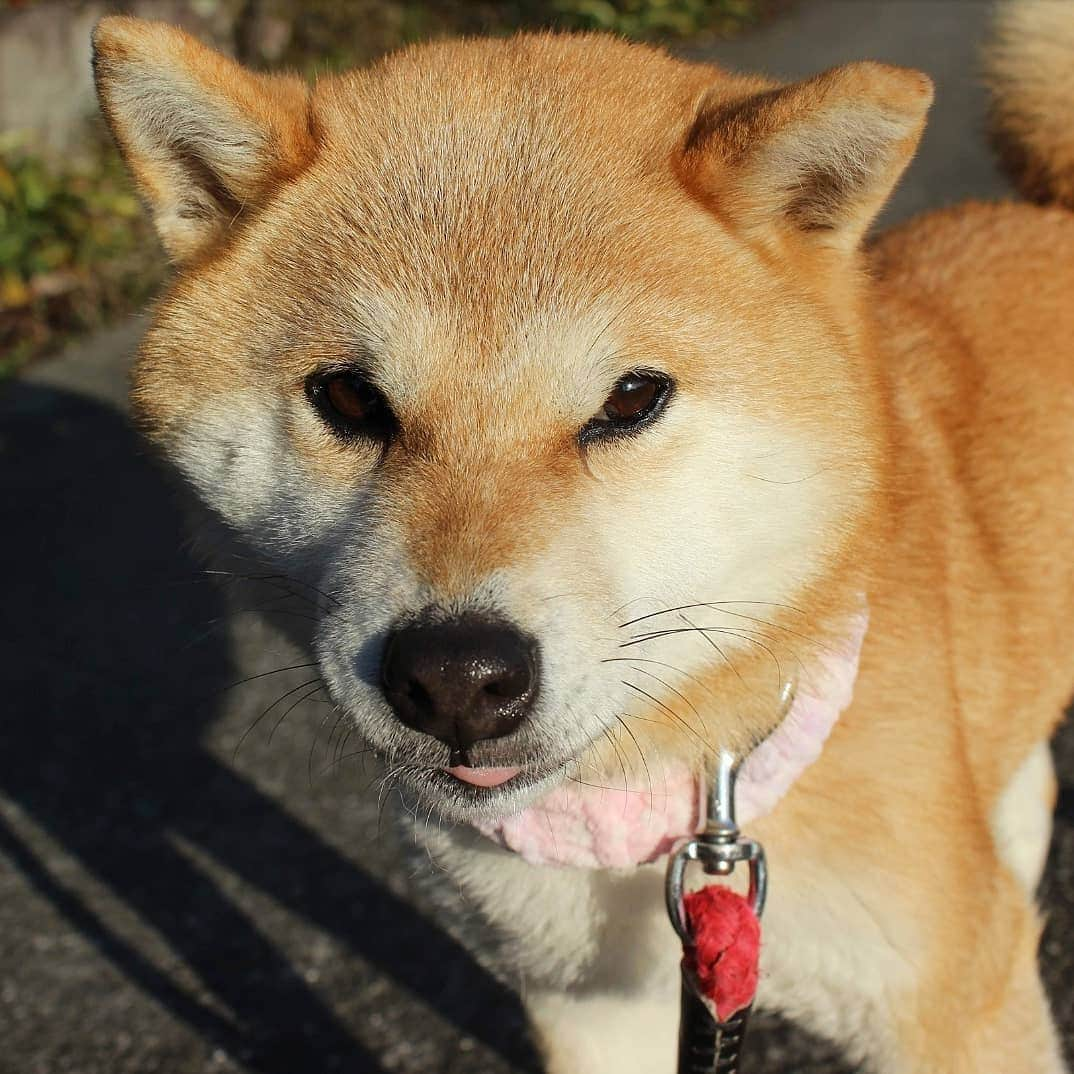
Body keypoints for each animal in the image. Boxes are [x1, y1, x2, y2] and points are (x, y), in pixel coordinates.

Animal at [94, 4, 1074, 1069]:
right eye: (349, 398)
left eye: (633, 399)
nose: (456, 677)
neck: (647, 809)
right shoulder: (589, 1000)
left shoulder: (953, 1009)